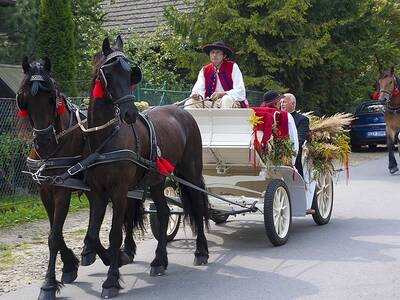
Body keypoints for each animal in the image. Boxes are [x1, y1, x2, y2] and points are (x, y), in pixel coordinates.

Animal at [16, 56, 141, 300]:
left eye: (51, 98)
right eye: (26, 97)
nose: (43, 140)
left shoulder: (63, 190)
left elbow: (55, 237)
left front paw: (48, 285)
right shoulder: (46, 191)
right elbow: (56, 234)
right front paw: (69, 266)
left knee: (129, 215)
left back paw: (125, 250)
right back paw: (96, 253)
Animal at [85, 35, 209, 298]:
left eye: (130, 72)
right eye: (108, 72)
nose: (130, 113)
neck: (106, 138)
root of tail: (183, 113)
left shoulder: (119, 191)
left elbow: (114, 234)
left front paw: (111, 280)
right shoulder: (97, 191)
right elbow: (92, 234)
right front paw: (103, 258)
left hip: (190, 174)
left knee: (198, 206)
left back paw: (201, 252)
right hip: (157, 182)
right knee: (163, 214)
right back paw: (159, 261)